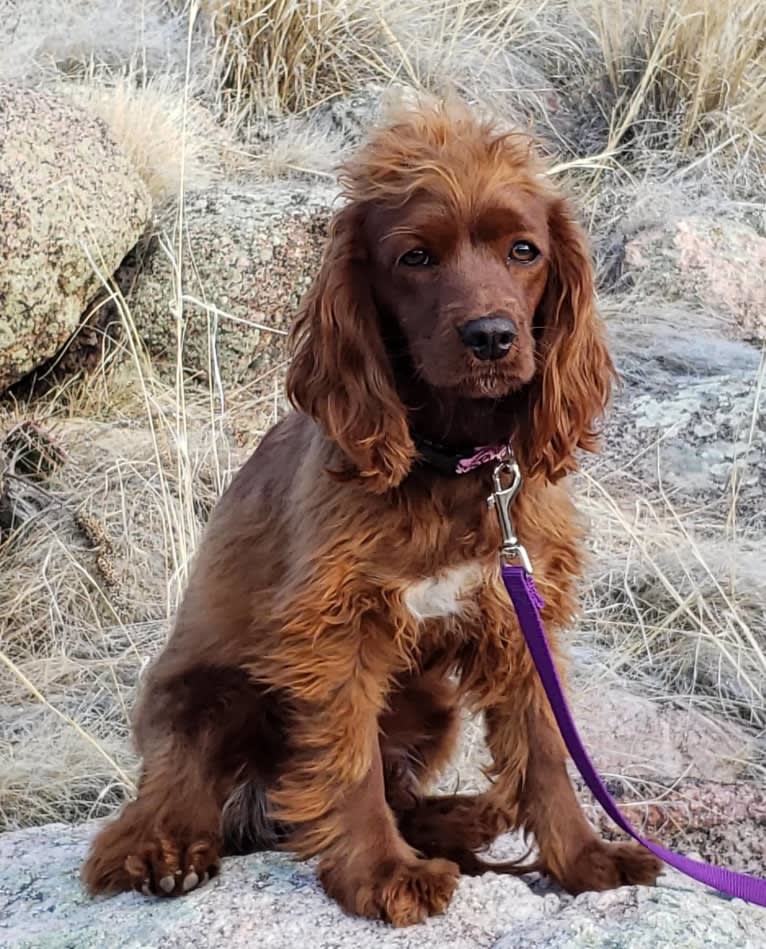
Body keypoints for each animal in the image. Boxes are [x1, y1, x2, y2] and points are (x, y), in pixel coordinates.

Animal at [81, 100, 664, 924]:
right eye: (414, 258)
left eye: (524, 250)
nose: (492, 337)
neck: (451, 466)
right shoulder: (335, 630)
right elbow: (347, 762)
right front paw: (382, 874)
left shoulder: (520, 616)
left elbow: (546, 747)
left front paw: (583, 859)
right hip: (208, 694)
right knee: (167, 798)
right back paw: (163, 851)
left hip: (430, 701)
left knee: (399, 790)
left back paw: (462, 818)